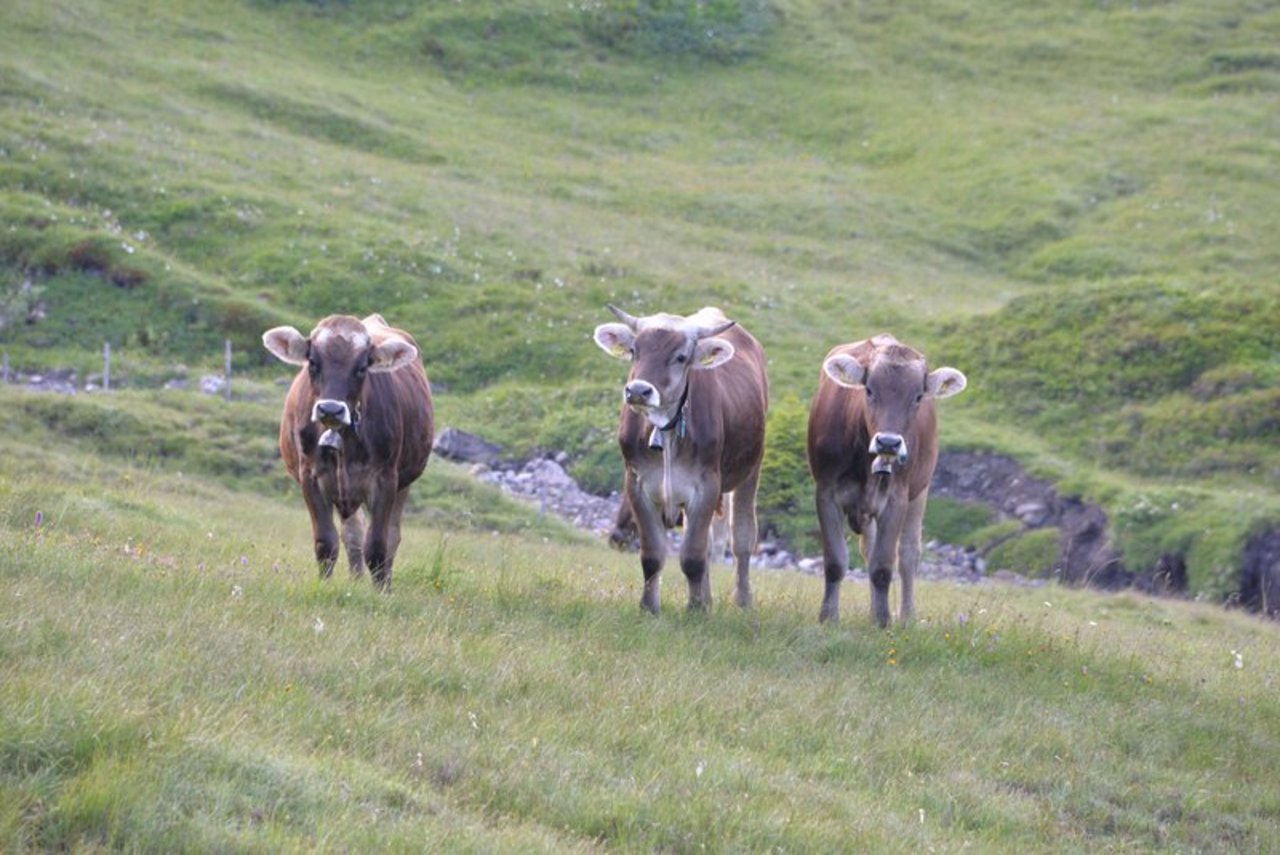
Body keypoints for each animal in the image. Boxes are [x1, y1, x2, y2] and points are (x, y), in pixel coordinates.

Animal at [262, 314, 434, 591]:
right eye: (312, 362)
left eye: (362, 367)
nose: (330, 409)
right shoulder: (311, 477)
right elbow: (326, 543)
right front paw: (324, 586)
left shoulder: (385, 478)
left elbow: (377, 545)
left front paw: (380, 593)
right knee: (353, 534)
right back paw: (355, 581)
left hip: (404, 481)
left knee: (392, 536)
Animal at [593, 306, 768, 613]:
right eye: (634, 350)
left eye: (681, 357)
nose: (638, 391)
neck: (665, 430)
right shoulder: (637, 483)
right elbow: (652, 556)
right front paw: (650, 608)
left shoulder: (707, 485)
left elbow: (692, 556)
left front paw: (696, 610)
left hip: (750, 469)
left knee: (742, 537)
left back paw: (743, 600)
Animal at [807, 334, 966, 626]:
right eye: (869, 390)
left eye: (918, 396)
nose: (889, 442)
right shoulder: (825, 492)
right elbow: (835, 561)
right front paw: (828, 617)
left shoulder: (897, 499)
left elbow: (882, 566)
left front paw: (883, 623)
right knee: (869, 551)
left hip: (920, 492)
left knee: (908, 555)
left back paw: (907, 617)